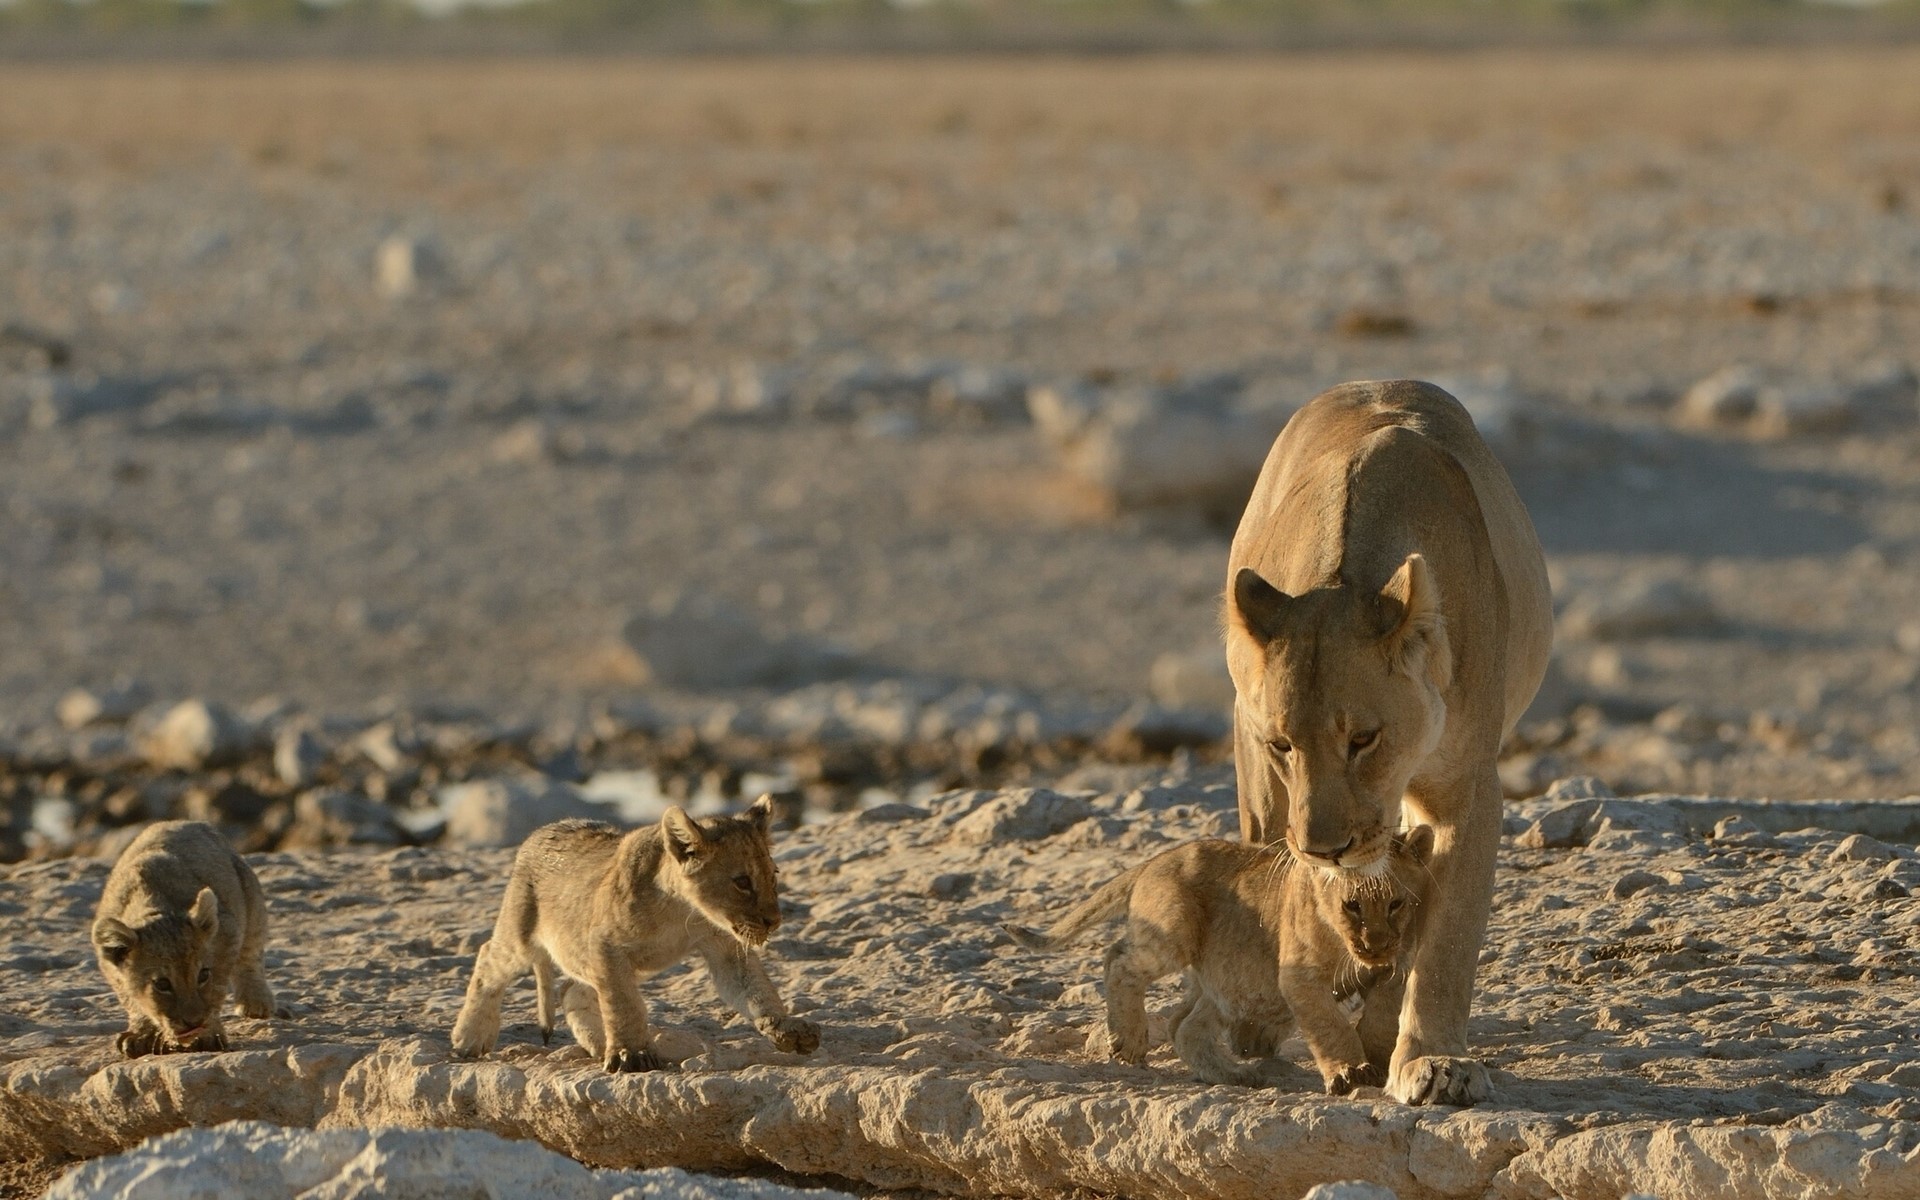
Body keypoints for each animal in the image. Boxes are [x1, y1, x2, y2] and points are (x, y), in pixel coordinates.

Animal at [1224, 380, 1552, 1106]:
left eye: (1364, 738)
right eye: (1282, 744)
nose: (1325, 848)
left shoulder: (1467, 787)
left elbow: (1444, 938)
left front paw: (1432, 1061)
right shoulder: (1256, 756)